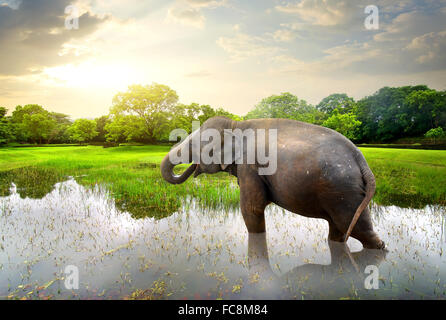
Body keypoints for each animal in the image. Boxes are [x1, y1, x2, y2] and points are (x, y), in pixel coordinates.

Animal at [161, 115, 386, 250]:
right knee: (340, 228)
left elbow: (252, 208)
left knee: (356, 228)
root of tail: (360, 158)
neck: (236, 125)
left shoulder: (250, 166)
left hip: (342, 190)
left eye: (193, 145)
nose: (192, 167)